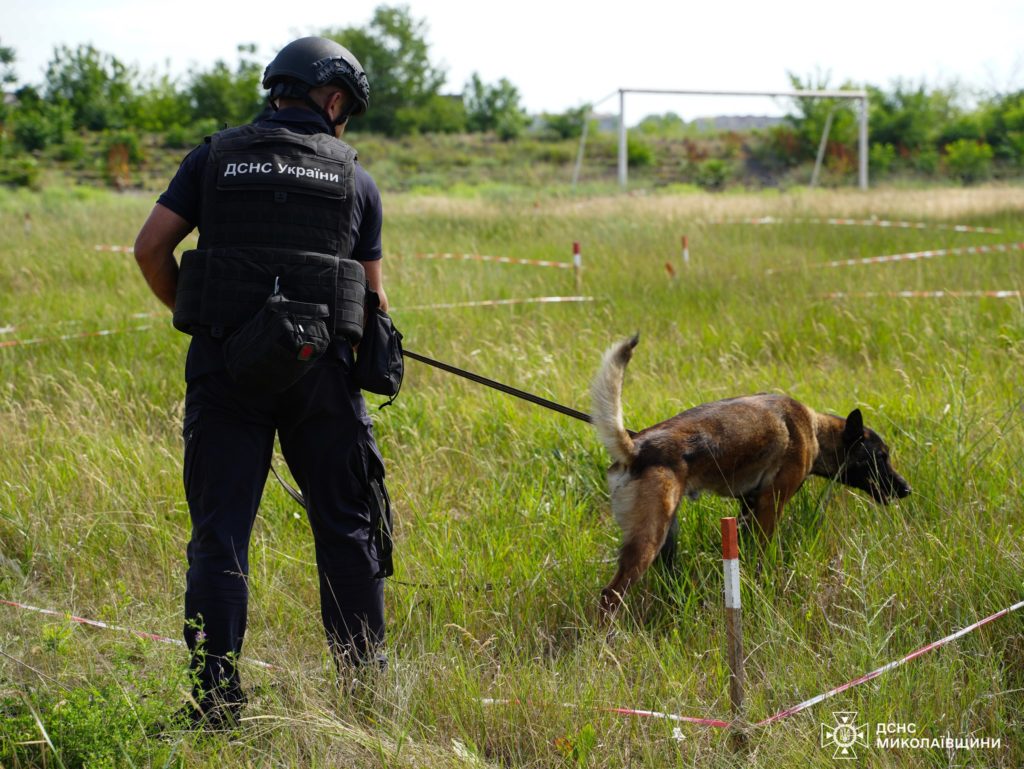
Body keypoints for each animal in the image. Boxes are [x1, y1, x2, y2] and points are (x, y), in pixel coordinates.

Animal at [593, 333, 913, 618]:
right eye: (880, 456)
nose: (906, 489)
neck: (815, 429)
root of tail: (635, 448)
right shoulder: (771, 504)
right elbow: (764, 554)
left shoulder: (748, 507)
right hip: (649, 539)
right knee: (609, 595)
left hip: (666, 536)